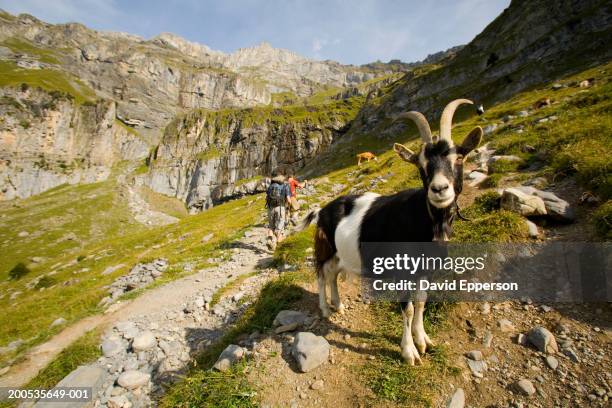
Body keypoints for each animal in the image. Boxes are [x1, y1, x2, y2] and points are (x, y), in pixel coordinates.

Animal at [302, 99, 482, 366]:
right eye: (421, 165)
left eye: (459, 157)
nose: (439, 189)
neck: (425, 219)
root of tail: (322, 210)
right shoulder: (401, 271)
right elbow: (407, 307)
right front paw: (409, 352)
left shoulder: (424, 271)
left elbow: (421, 302)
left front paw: (424, 341)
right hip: (325, 248)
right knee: (322, 275)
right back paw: (325, 309)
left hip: (342, 254)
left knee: (333, 275)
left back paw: (339, 305)